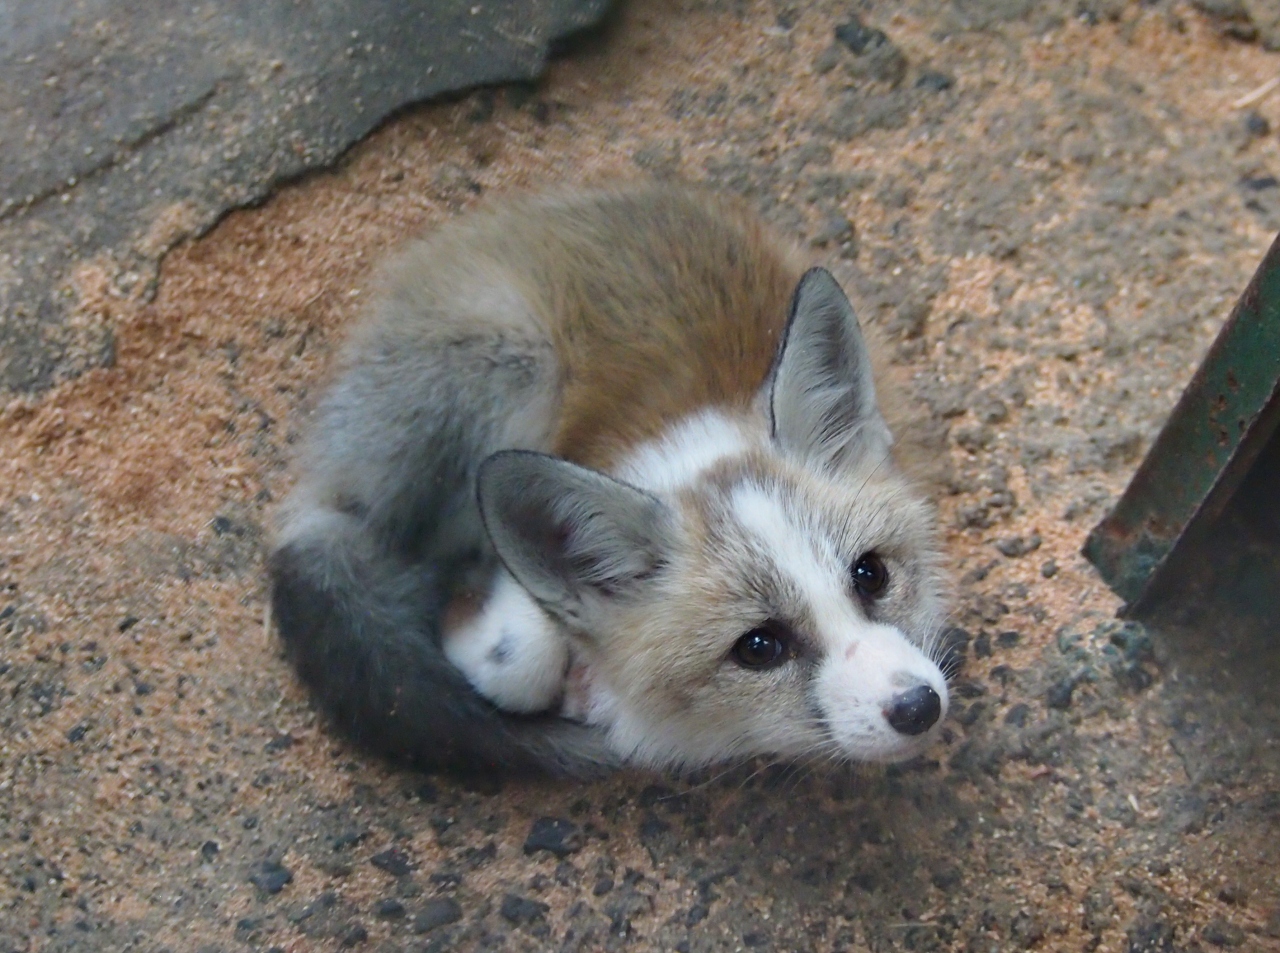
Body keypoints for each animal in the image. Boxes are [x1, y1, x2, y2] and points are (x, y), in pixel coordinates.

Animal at [267, 181, 952, 777]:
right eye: (759, 647)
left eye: (871, 574)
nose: (918, 708)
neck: (682, 432)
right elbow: (516, 659)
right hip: (517, 367)